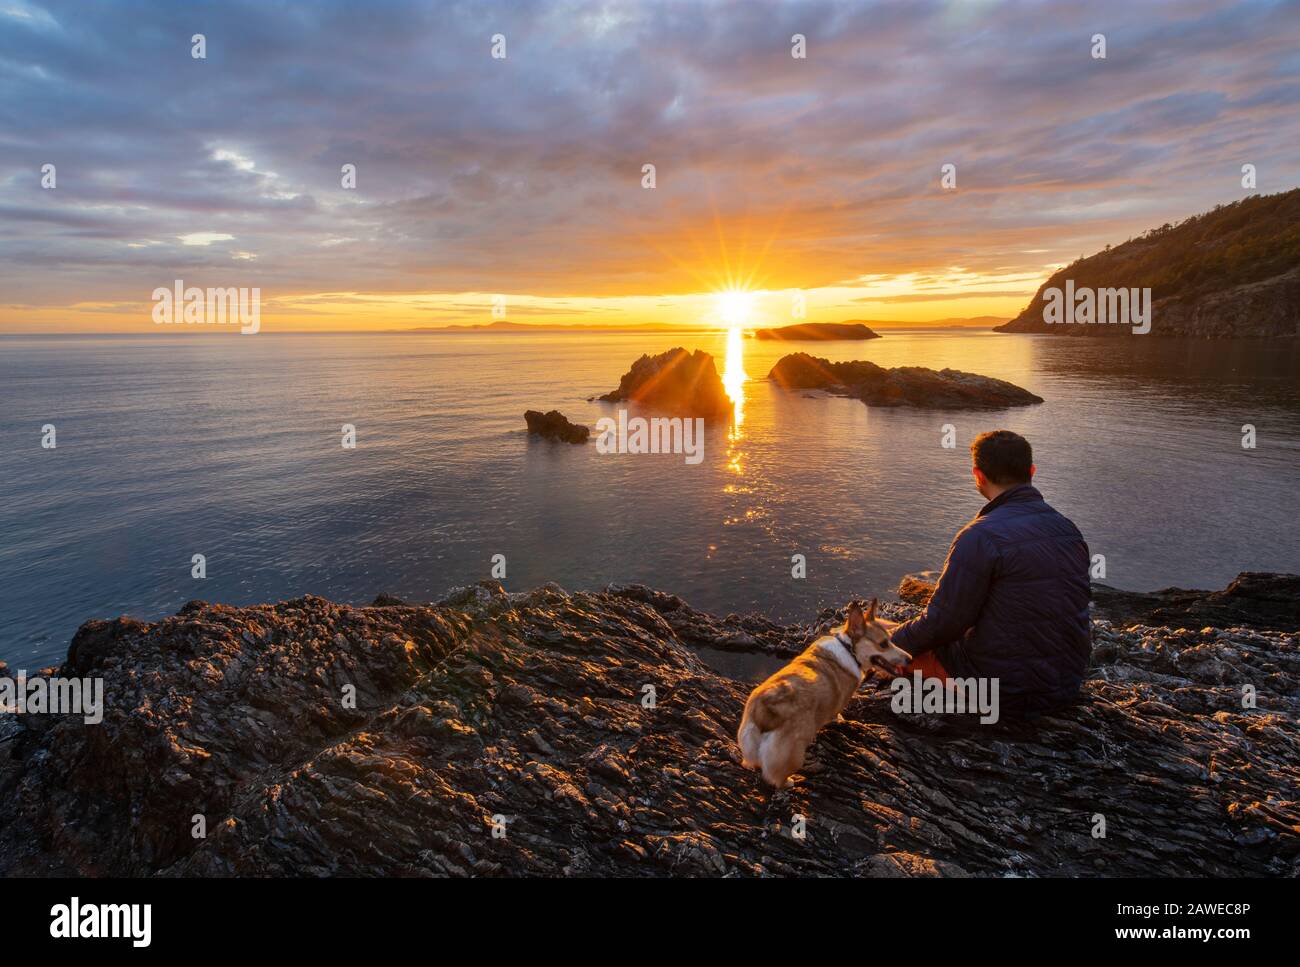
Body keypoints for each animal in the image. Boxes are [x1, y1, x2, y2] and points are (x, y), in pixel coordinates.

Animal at [738, 597, 909, 795]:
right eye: (883, 644)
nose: (909, 658)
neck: (849, 649)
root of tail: (765, 709)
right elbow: (836, 713)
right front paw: (839, 719)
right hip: (794, 754)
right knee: (777, 778)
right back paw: (789, 783)